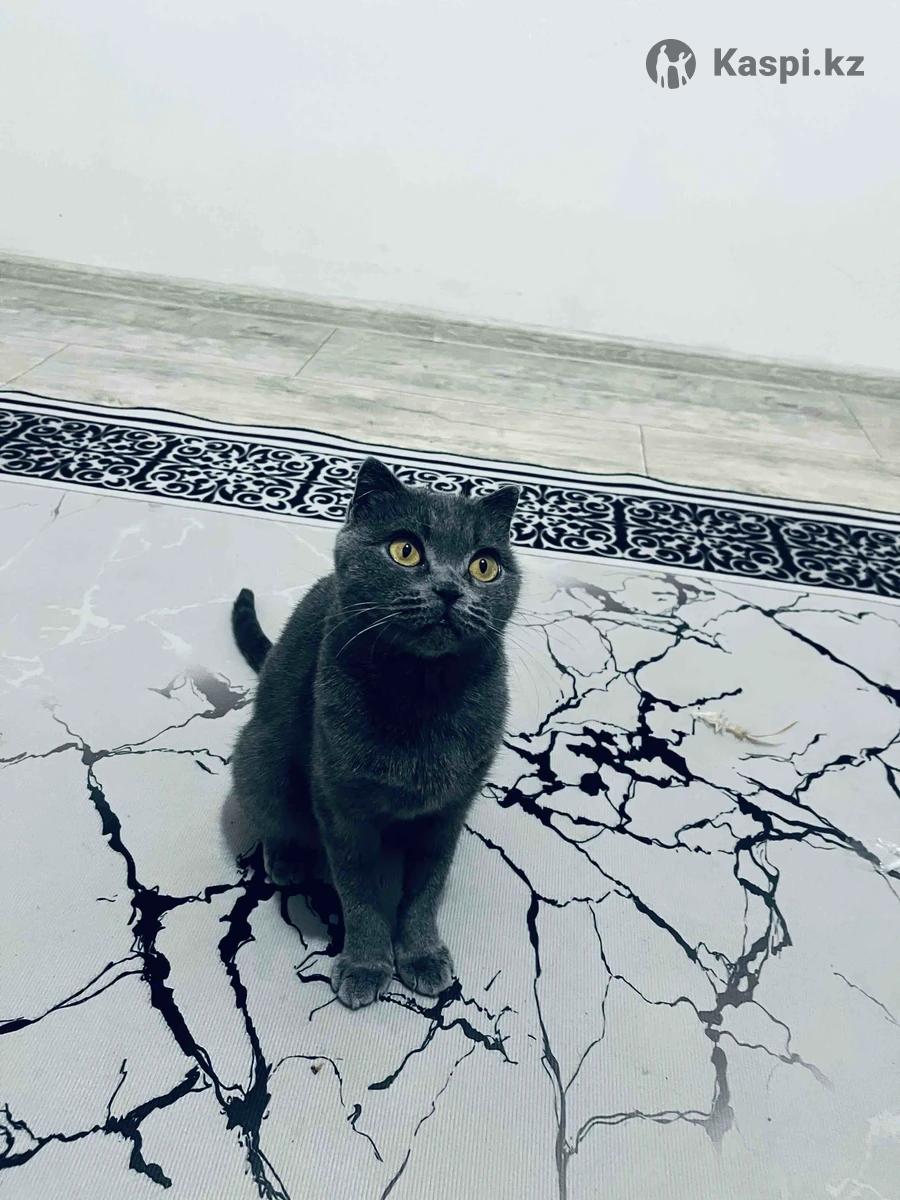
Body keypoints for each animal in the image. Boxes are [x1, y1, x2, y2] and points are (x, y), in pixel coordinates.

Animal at [230, 457, 520, 1009]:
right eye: (405, 550)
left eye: (484, 565)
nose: (449, 589)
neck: (422, 694)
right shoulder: (341, 803)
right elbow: (358, 890)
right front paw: (366, 965)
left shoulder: (449, 810)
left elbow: (426, 889)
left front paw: (422, 956)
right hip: (263, 755)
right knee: (268, 813)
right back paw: (287, 860)